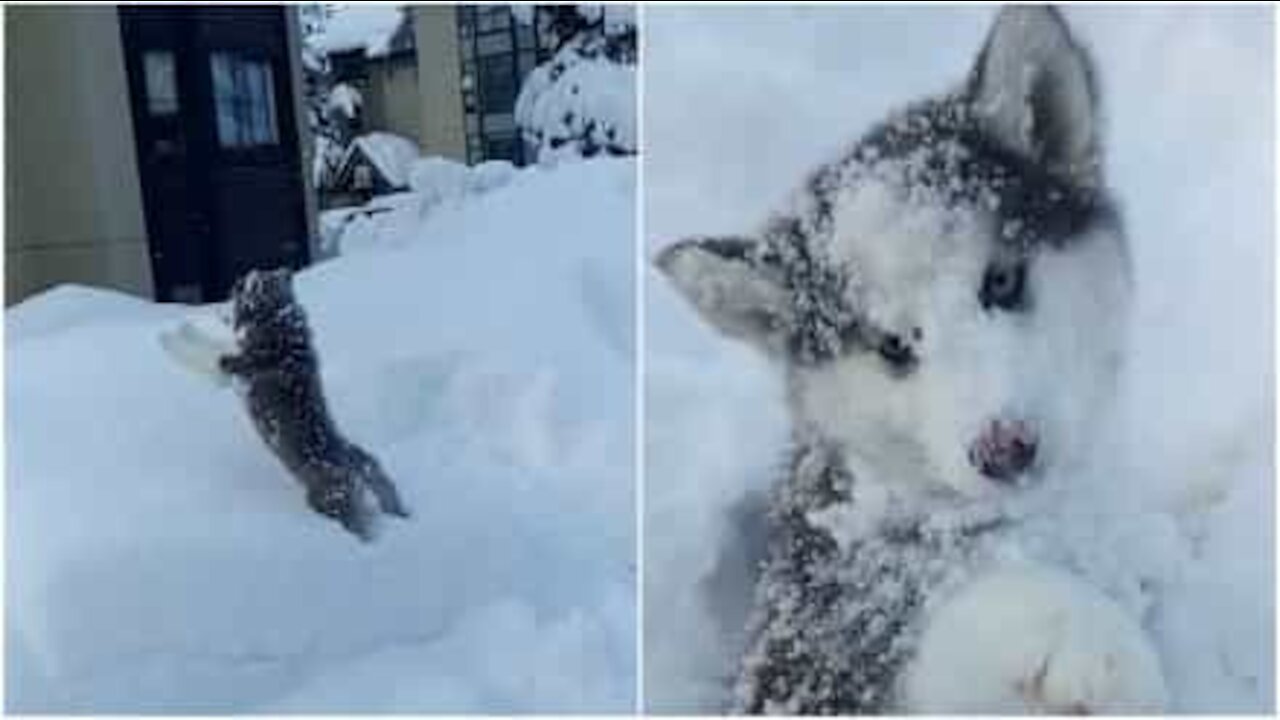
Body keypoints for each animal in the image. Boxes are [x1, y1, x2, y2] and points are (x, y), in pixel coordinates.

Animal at [220, 269, 407, 538]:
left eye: (249, 282)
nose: (235, 282)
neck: (281, 322)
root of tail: (354, 466)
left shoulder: (253, 365)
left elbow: (242, 363)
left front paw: (224, 360)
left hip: (332, 500)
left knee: (355, 524)